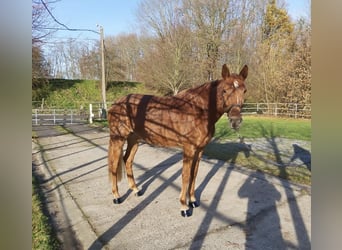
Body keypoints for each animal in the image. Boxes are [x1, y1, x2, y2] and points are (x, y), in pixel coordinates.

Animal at [108, 64, 247, 217]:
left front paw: (193, 201)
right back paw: (116, 197)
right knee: (114, 165)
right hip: (118, 139)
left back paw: (136, 190)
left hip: (134, 140)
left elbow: (194, 175)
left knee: (127, 160)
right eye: (225, 90)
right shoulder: (188, 149)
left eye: (244, 90)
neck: (198, 110)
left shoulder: (199, 150)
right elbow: (185, 176)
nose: (236, 121)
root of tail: (116, 104)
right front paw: (184, 207)